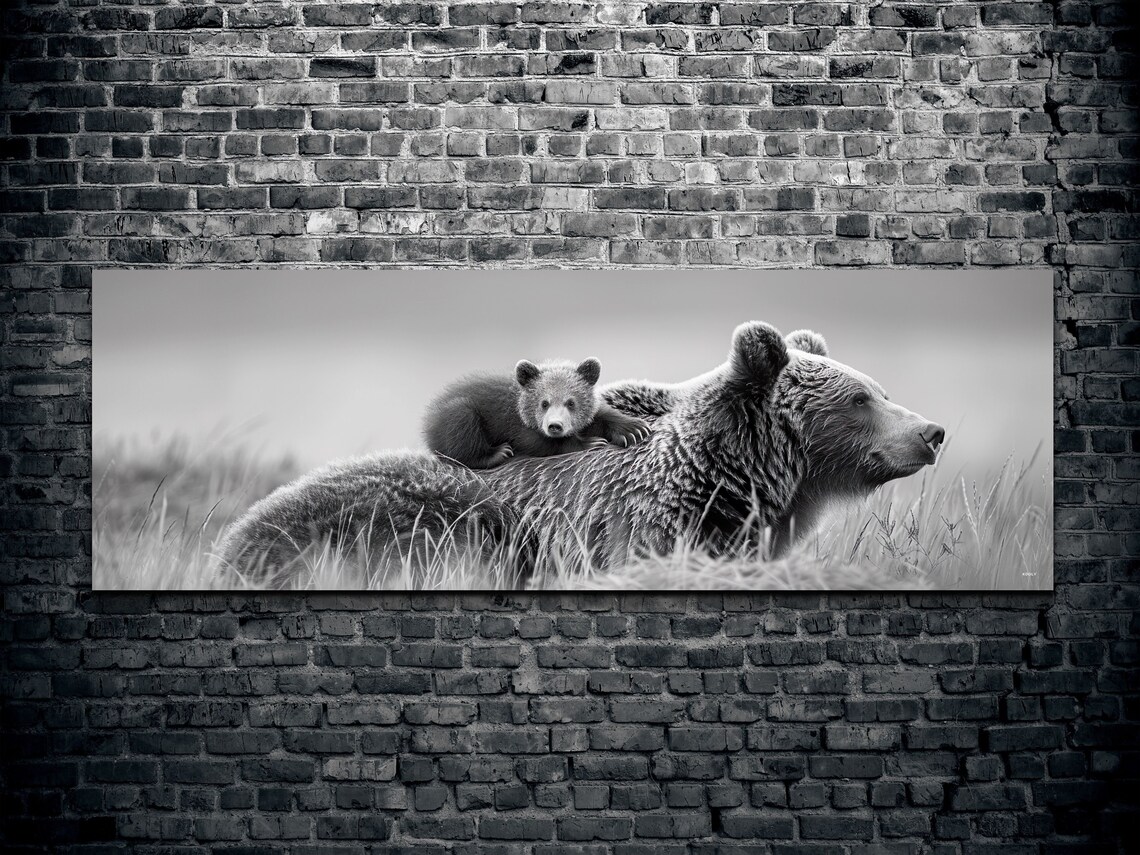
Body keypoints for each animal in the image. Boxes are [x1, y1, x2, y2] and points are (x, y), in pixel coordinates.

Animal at [423, 357, 651, 470]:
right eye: (544, 403)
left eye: (571, 402)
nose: (555, 426)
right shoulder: (516, 425)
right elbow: (537, 442)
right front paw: (590, 442)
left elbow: (600, 415)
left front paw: (633, 429)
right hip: (458, 413)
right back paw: (496, 453)